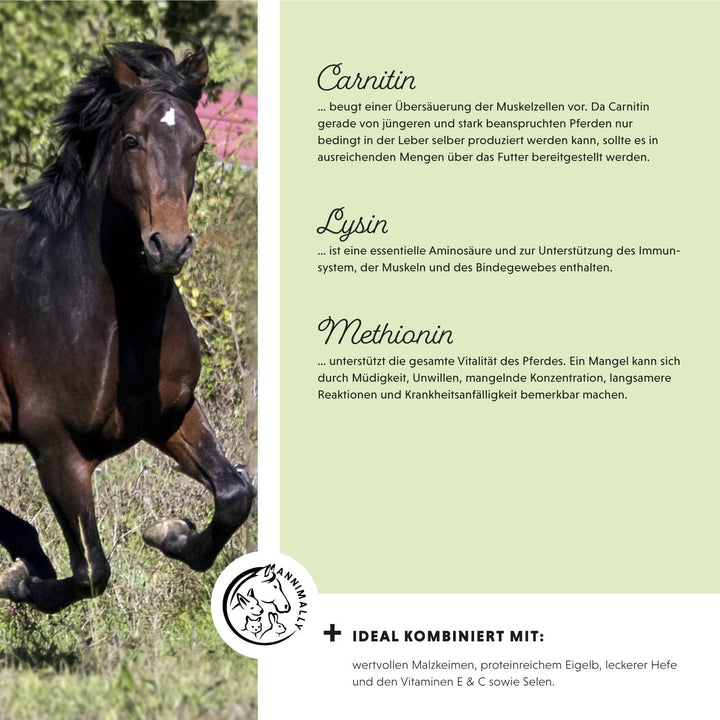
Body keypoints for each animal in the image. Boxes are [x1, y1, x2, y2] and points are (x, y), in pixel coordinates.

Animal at [0, 42, 255, 613]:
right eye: (131, 139)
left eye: (198, 144)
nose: (169, 247)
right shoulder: (58, 451)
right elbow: (91, 571)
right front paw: (20, 581)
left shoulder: (172, 414)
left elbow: (235, 494)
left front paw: (172, 533)